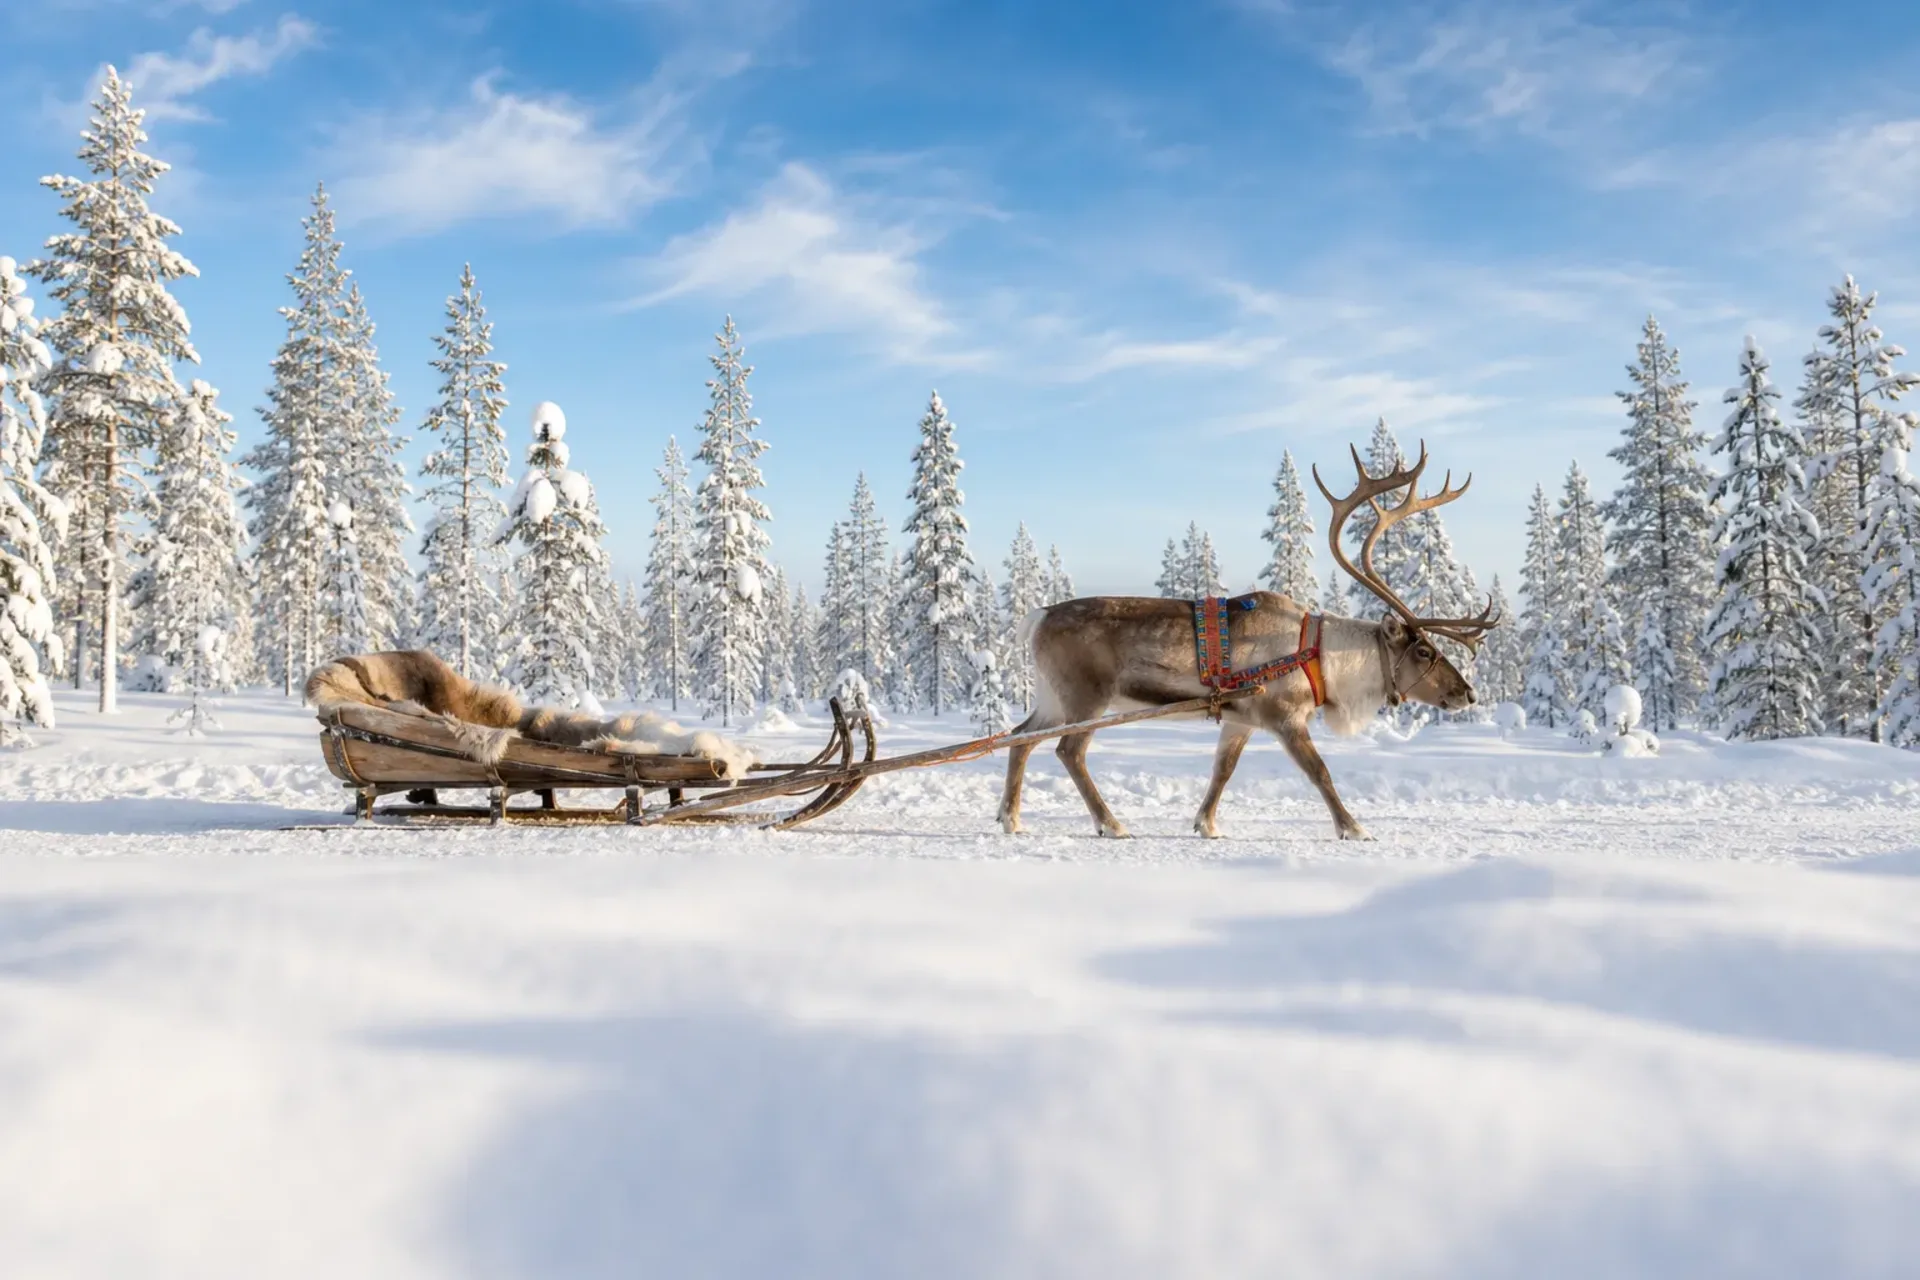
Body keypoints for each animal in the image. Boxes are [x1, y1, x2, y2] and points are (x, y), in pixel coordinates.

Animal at [997, 442, 1500, 840]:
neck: (1323, 657)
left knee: (1020, 738)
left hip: (1054, 697)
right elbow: (1320, 772)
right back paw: (1111, 824)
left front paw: (1206, 824)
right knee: (1068, 751)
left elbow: (1223, 771)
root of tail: (1036, 617)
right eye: (1424, 651)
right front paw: (1354, 828)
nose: (1468, 693)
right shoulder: (1285, 717)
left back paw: (1010, 818)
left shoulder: (1240, 720)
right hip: (1086, 697)